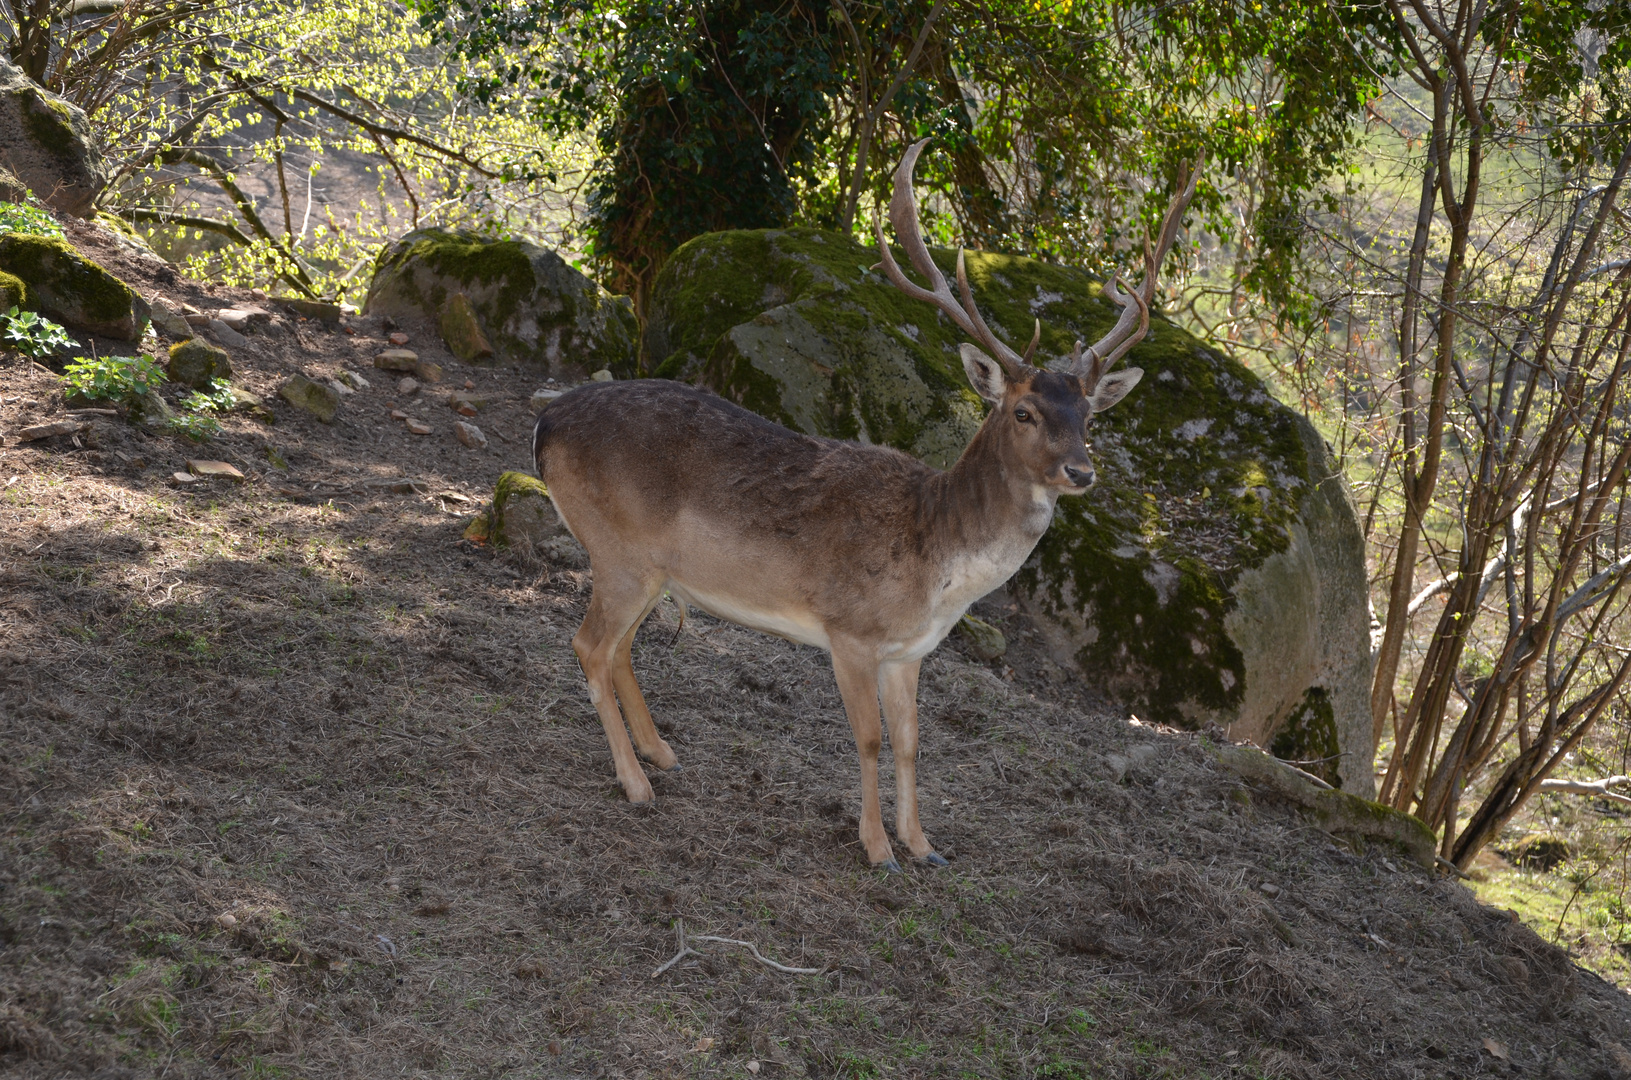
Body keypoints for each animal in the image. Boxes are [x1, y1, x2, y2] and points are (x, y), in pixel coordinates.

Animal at [534, 139, 1200, 874]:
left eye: (1087, 416)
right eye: (1023, 411)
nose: (1080, 471)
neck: (934, 566)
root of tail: (545, 425)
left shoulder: (909, 652)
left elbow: (911, 741)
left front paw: (925, 846)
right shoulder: (848, 631)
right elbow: (871, 739)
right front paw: (878, 849)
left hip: (649, 570)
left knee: (619, 647)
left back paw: (662, 753)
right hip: (618, 550)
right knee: (589, 645)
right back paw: (636, 783)